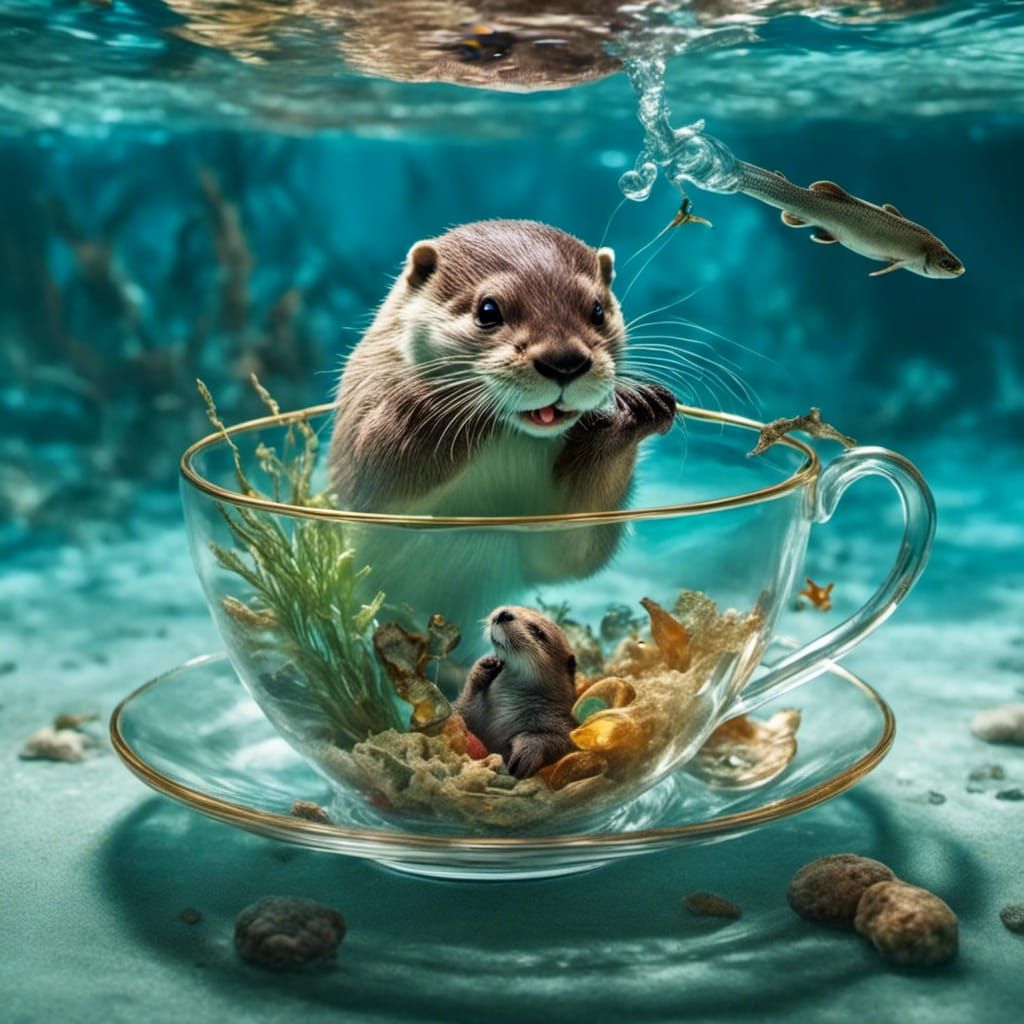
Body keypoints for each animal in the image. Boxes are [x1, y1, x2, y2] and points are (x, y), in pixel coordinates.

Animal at [328, 219, 675, 624]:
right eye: (488, 310)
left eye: (597, 310)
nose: (564, 361)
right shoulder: (363, 419)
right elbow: (376, 466)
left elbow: (573, 551)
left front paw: (634, 408)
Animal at [455, 606, 578, 779]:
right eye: (519, 608)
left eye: (538, 631)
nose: (504, 613)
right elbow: (461, 711)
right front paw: (485, 665)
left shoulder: (562, 722)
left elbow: (562, 742)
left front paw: (526, 752)